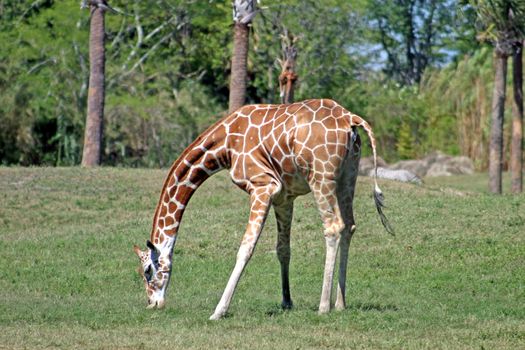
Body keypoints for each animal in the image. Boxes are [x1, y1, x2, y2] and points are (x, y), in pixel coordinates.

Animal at [133, 98, 390, 320]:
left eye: (147, 270)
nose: (153, 303)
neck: (225, 145)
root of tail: (350, 119)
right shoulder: (284, 197)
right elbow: (283, 249)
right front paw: (286, 301)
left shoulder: (262, 186)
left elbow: (245, 248)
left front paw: (219, 311)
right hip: (349, 174)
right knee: (349, 226)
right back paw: (340, 303)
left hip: (321, 176)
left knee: (334, 227)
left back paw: (324, 306)